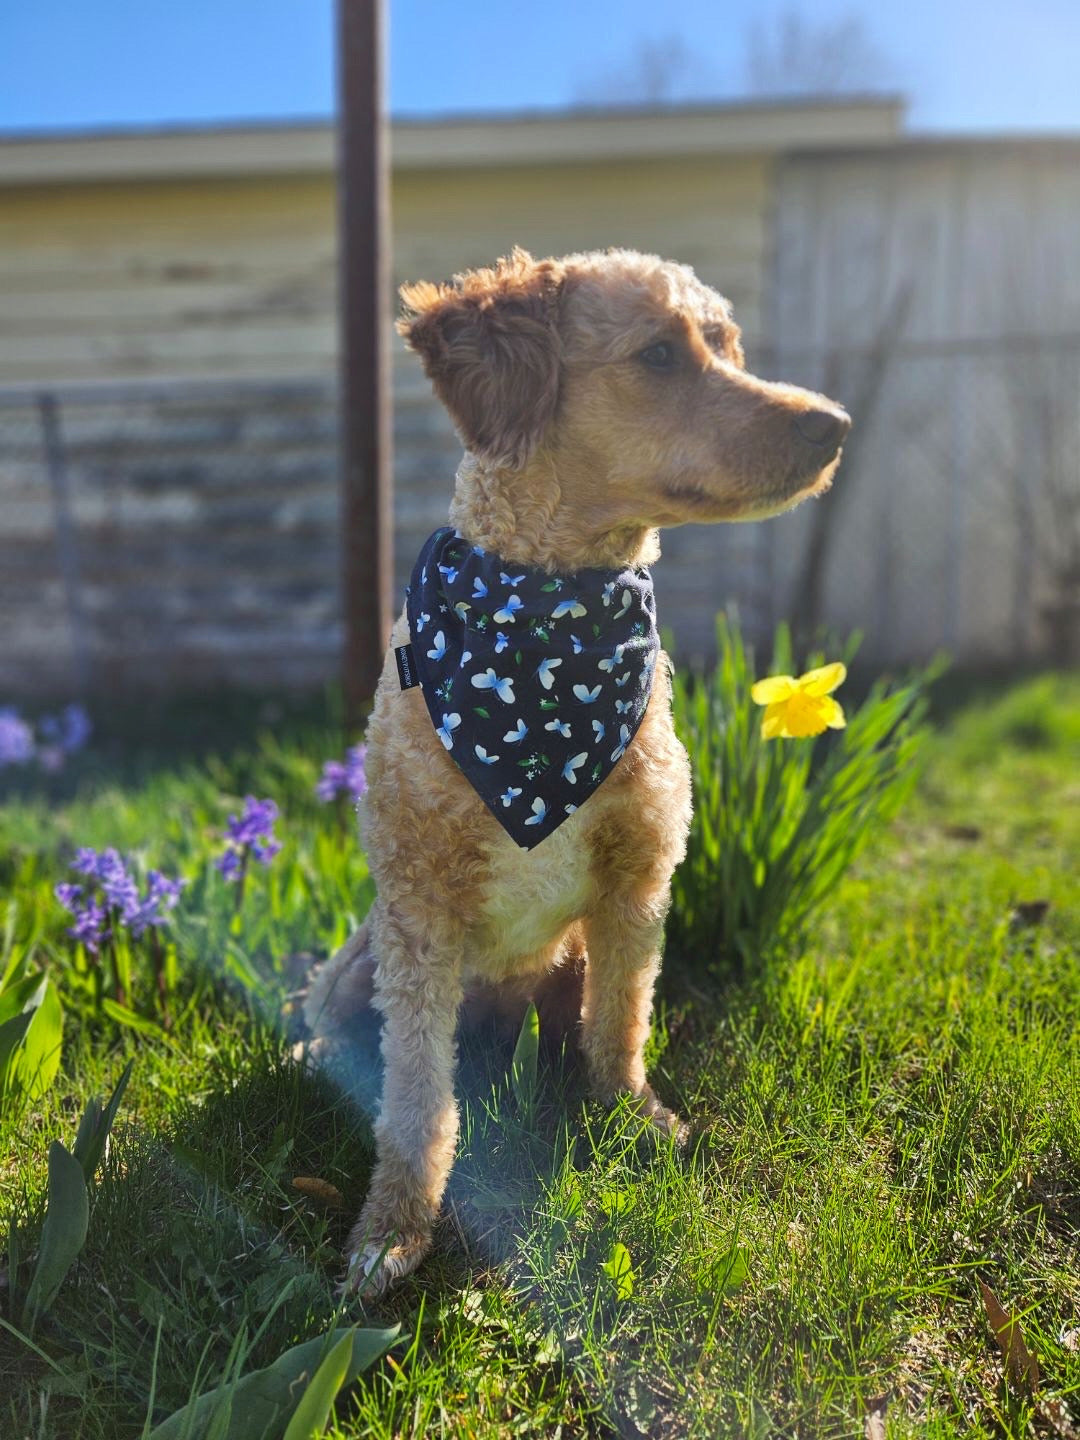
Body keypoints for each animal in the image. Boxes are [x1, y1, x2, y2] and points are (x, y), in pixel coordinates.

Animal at [302, 247, 846, 1296]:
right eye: (660, 355)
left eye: (727, 345)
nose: (833, 424)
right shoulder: (419, 917)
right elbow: (415, 1100)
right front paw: (394, 1228)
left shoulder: (638, 887)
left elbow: (620, 1031)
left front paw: (634, 1119)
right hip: (358, 965)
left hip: (571, 958)